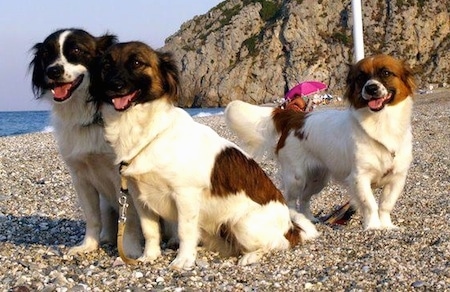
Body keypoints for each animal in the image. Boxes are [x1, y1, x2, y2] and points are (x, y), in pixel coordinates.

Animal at [227, 54, 416, 230]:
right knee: (291, 200)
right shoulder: (360, 178)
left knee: (304, 198)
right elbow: (369, 204)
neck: (381, 122)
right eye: (361, 77)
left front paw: (387, 226)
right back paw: (297, 219)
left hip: (318, 180)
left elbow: (385, 205)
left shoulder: (397, 178)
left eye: (386, 73)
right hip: (296, 177)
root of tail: (294, 117)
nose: (370, 88)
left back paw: (310, 219)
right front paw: (373, 227)